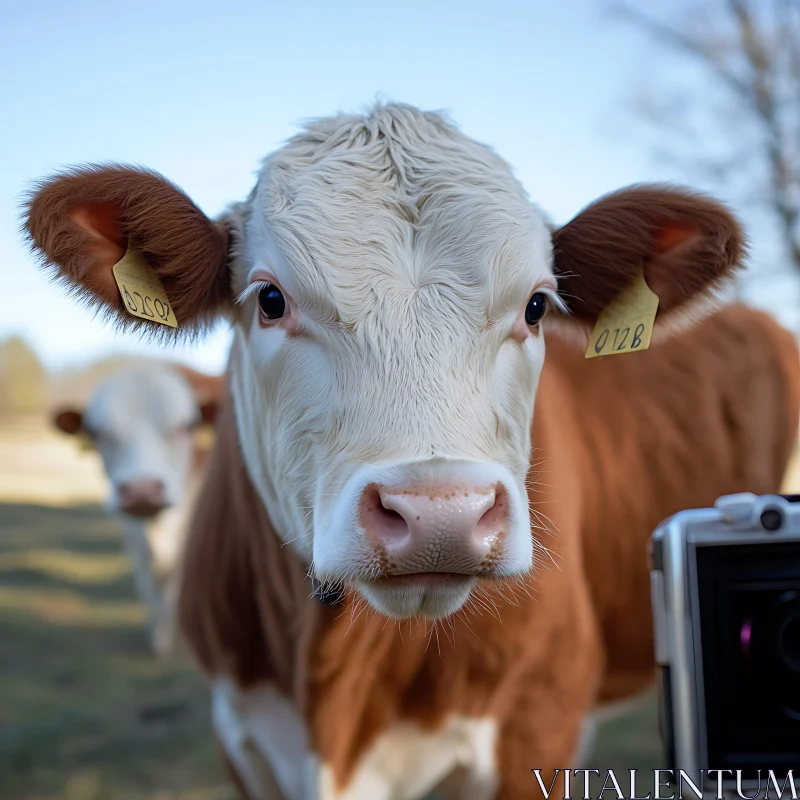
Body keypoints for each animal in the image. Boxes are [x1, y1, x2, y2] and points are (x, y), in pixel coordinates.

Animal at [52, 362, 222, 656]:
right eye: (97, 433)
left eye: (187, 427)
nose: (142, 490)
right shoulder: (132, 532)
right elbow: (147, 582)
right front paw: (160, 637)